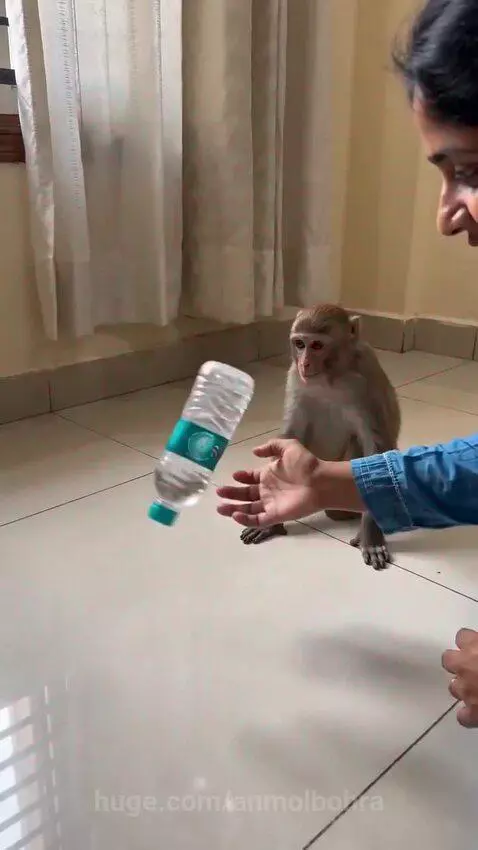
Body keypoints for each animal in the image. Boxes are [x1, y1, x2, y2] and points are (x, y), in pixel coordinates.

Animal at [240, 303, 401, 570]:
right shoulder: (294, 377)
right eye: (299, 344)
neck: (331, 376)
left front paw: (371, 535)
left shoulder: (365, 379)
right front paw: (271, 518)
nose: (305, 364)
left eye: (317, 345)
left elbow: (375, 445)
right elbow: (291, 436)